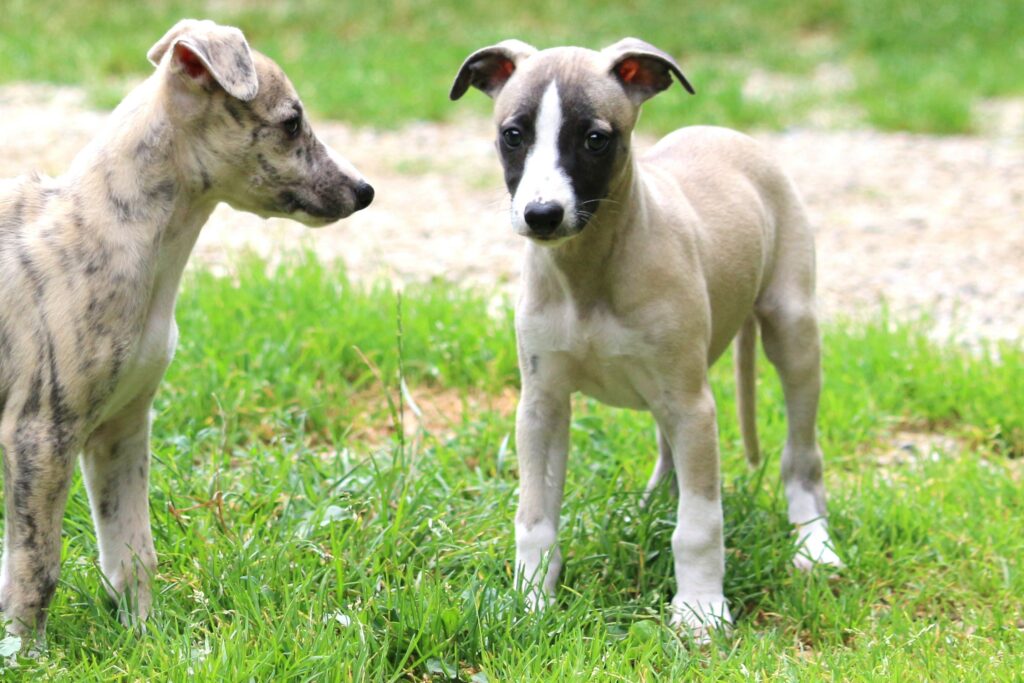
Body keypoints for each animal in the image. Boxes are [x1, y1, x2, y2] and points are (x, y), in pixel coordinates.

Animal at [0, 19, 373, 643]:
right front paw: (27, 651)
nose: (365, 191)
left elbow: (133, 552)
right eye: (291, 122)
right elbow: (36, 565)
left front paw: (144, 640)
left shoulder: (122, 428)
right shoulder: (39, 433)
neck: (115, 232)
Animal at [451, 38, 842, 638]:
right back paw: (651, 508)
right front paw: (530, 601)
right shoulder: (542, 405)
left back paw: (813, 544)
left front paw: (701, 610)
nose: (542, 215)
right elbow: (534, 517)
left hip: (791, 332)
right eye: (513, 134)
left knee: (802, 456)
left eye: (595, 139)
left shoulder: (692, 405)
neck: (589, 274)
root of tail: (725, 132)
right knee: (670, 454)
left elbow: (700, 526)